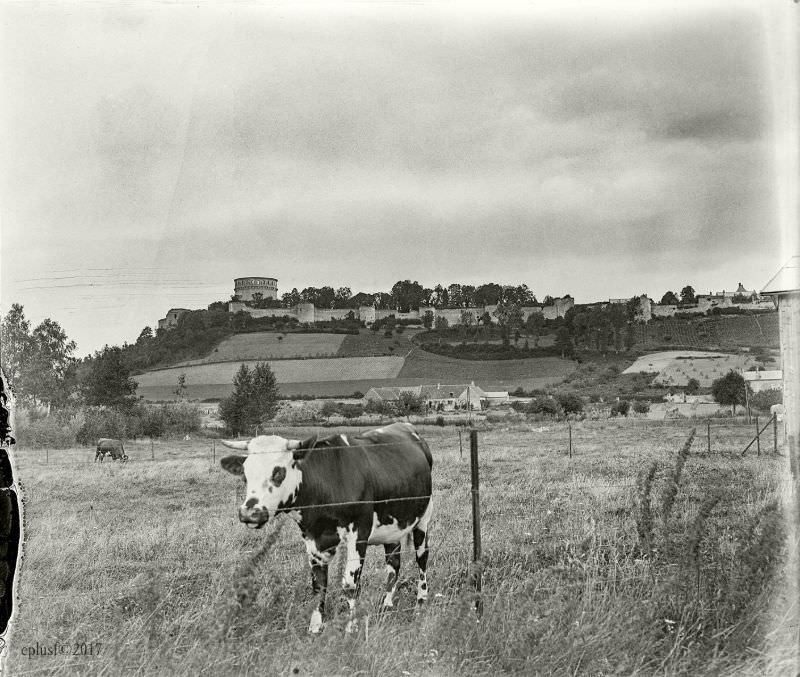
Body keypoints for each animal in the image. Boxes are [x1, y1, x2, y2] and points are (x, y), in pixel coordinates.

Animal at [219, 420, 434, 632]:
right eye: (245, 476)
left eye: (278, 472)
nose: (249, 513)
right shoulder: (313, 538)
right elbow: (318, 584)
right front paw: (315, 627)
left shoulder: (359, 533)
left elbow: (350, 585)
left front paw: (351, 627)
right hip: (393, 527)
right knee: (393, 564)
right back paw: (386, 606)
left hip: (424, 518)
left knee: (422, 558)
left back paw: (421, 602)